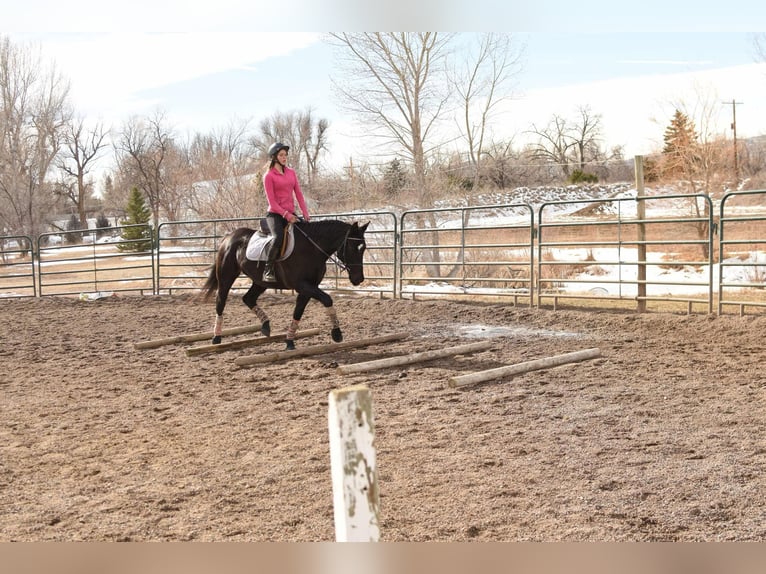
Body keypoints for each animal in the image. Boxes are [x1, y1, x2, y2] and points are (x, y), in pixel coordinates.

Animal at [201, 219, 369, 350]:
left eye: (364, 248)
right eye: (352, 247)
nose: (358, 279)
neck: (312, 249)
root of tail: (228, 237)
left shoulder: (308, 288)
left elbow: (298, 312)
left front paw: (289, 341)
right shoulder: (302, 285)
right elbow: (327, 299)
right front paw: (337, 334)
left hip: (260, 282)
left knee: (248, 298)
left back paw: (266, 326)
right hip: (226, 277)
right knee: (221, 301)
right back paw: (216, 338)